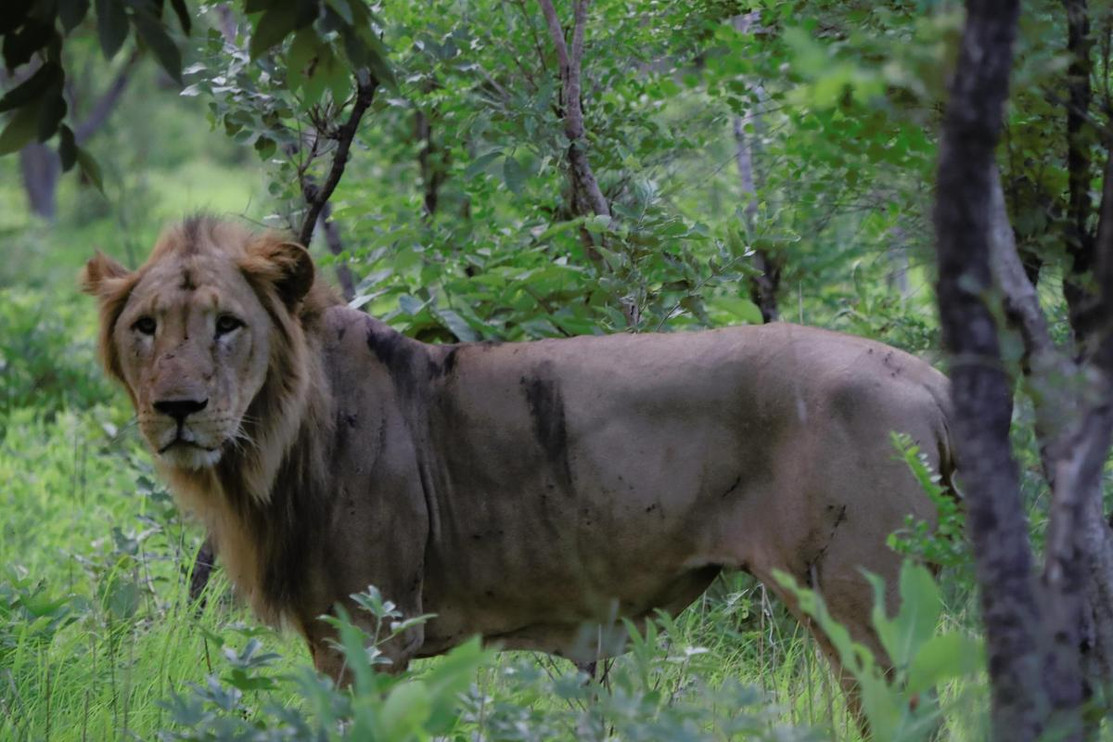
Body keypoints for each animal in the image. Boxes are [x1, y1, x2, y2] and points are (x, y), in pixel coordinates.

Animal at [84, 218, 957, 711]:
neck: (268, 449)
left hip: (866, 608)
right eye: (146, 326)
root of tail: (930, 378)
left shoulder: (370, 633)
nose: (179, 407)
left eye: (228, 325)